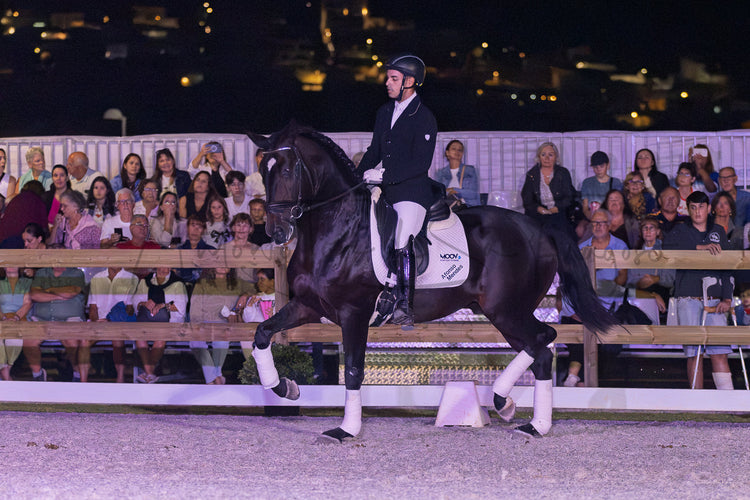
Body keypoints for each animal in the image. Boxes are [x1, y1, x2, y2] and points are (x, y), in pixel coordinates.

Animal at [248, 121, 616, 442]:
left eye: (286, 171)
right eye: (264, 172)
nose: (276, 231)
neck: (337, 230)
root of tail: (540, 229)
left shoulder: (354, 313)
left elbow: (353, 370)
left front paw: (346, 430)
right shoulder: (309, 306)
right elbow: (262, 334)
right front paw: (285, 387)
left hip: (506, 310)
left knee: (543, 340)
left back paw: (527, 419)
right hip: (504, 312)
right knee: (539, 349)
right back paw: (512, 409)